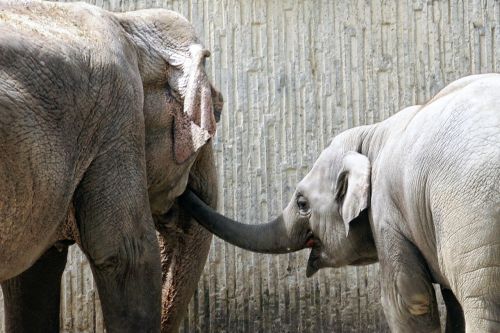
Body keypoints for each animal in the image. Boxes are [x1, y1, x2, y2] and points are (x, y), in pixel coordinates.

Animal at [181, 74, 500, 330]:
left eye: (302, 203)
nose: (184, 189)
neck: (372, 133)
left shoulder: (387, 213)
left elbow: (407, 301)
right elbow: (451, 304)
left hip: (470, 215)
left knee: (481, 305)